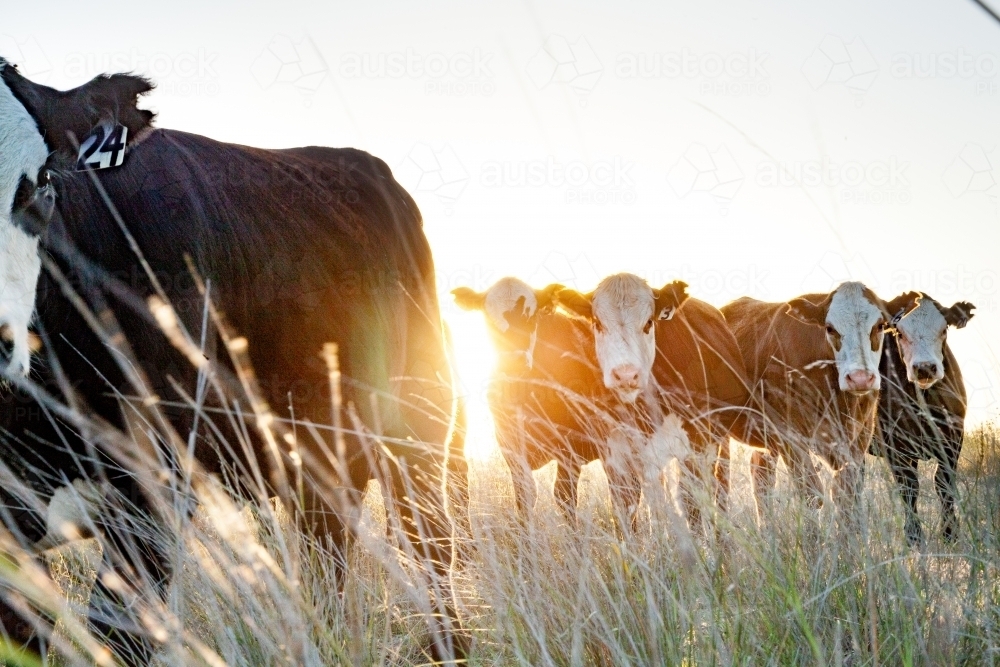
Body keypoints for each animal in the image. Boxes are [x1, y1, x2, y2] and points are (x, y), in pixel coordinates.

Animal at [452, 276, 604, 520]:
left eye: (531, 318)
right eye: (489, 320)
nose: (513, 361)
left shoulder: (569, 445)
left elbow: (564, 496)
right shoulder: (509, 443)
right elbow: (524, 497)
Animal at [556, 272, 752, 532]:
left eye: (649, 323)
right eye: (597, 323)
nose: (626, 375)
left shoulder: (695, 444)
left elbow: (691, 505)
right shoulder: (614, 454)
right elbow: (625, 510)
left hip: (719, 439)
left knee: (719, 487)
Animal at [720, 282, 920, 520]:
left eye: (880, 326)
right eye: (830, 328)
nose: (860, 378)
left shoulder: (858, 439)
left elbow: (846, 497)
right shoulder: (791, 438)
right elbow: (811, 495)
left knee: (761, 480)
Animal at [872, 294, 972, 544]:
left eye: (944, 329)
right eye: (899, 333)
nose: (925, 367)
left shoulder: (953, 436)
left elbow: (943, 483)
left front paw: (950, 533)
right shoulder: (895, 444)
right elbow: (909, 487)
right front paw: (914, 536)